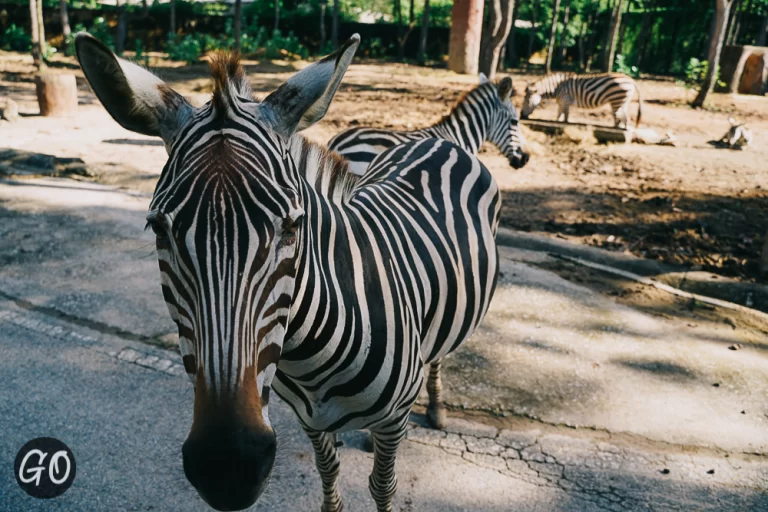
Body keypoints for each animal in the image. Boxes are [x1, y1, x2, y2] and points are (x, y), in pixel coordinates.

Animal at [75, 33, 500, 512]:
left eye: (293, 226)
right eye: (158, 229)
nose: (228, 467)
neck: (310, 359)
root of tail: (436, 141)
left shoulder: (393, 421)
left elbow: (382, 486)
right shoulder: (309, 418)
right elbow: (328, 471)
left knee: (439, 355)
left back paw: (438, 407)